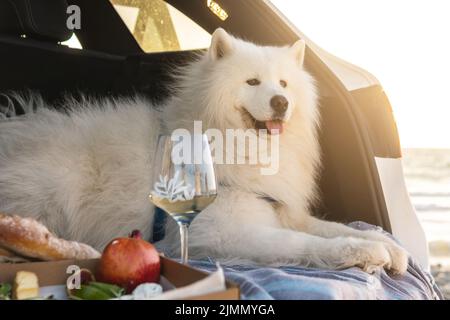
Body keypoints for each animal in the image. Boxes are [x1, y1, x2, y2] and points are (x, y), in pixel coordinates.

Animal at [0, 30, 408, 274]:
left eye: (283, 84)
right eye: (252, 82)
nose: (281, 102)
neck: (243, 148)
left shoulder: (276, 208)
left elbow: (330, 227)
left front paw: (390, 247)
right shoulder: (224, 232)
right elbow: (302, 242)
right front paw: (366, 252)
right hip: (56, 183)